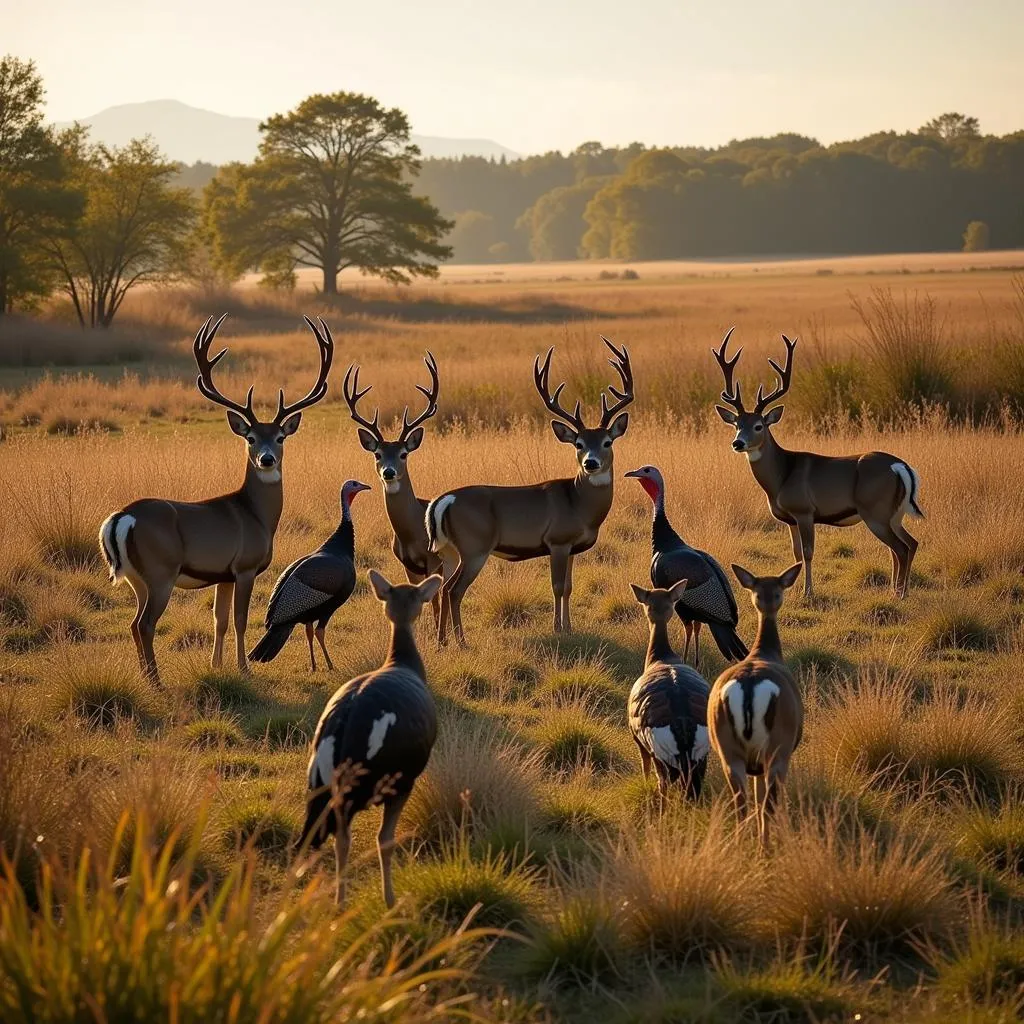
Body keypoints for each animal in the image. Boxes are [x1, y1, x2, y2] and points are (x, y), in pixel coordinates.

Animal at [98, 313, 333, 688]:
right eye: (251, 438)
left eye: (280, 437)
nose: (267, 459)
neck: (256, 516)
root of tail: (122, 517)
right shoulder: (245, 567)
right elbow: (239, 619)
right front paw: (244, 668)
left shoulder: (223, 575)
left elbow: (219, 620)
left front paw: (217, 666)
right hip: (160, 572)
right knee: (145, 624)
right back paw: (156, 682)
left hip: (137, 578)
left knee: (133, 624)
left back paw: (146, 677)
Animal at [344, 352, 444, 622]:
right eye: (377, 454)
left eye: (403, 454)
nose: (388, 472)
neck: (413, 532)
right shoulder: (407, 563)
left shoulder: (433, 560)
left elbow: (435, 602)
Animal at [423, 344, 630, 647]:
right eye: (578, 444)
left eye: (607, 442)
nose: (590, 463)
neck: (579, 505)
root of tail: (443, 500)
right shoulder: (557, 541)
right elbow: (557, 587)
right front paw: (558, 629)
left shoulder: (572, 547)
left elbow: (569, 587)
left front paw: (570, 628)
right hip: (474, 547)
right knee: (454, 589)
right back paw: (461, 641)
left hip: (449, 549)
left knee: (442, 586)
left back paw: (442, 642)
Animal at [708, 565, 802, 843]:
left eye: (775, 592)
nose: (770, 601)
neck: (764, 651)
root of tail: (749, 687)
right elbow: (765, 802)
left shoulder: (753, 765)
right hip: (778, 747)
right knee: (768, 804)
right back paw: (765, 846)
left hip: (727, 747)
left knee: (741, 803)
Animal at [712, 327, 929, 598]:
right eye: (736, 425)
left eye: (759, 425)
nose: (738, 443)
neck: (782, 476)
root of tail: (899, 466)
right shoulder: (790, 519)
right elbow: (795, 554)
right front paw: (793, 590)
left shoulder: (805, 511)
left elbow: (807, 553)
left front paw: (808, 592)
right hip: (894, 514)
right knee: (910, 543)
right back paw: (897, 590)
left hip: (875, 511)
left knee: (900, 547)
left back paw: (899, 593)